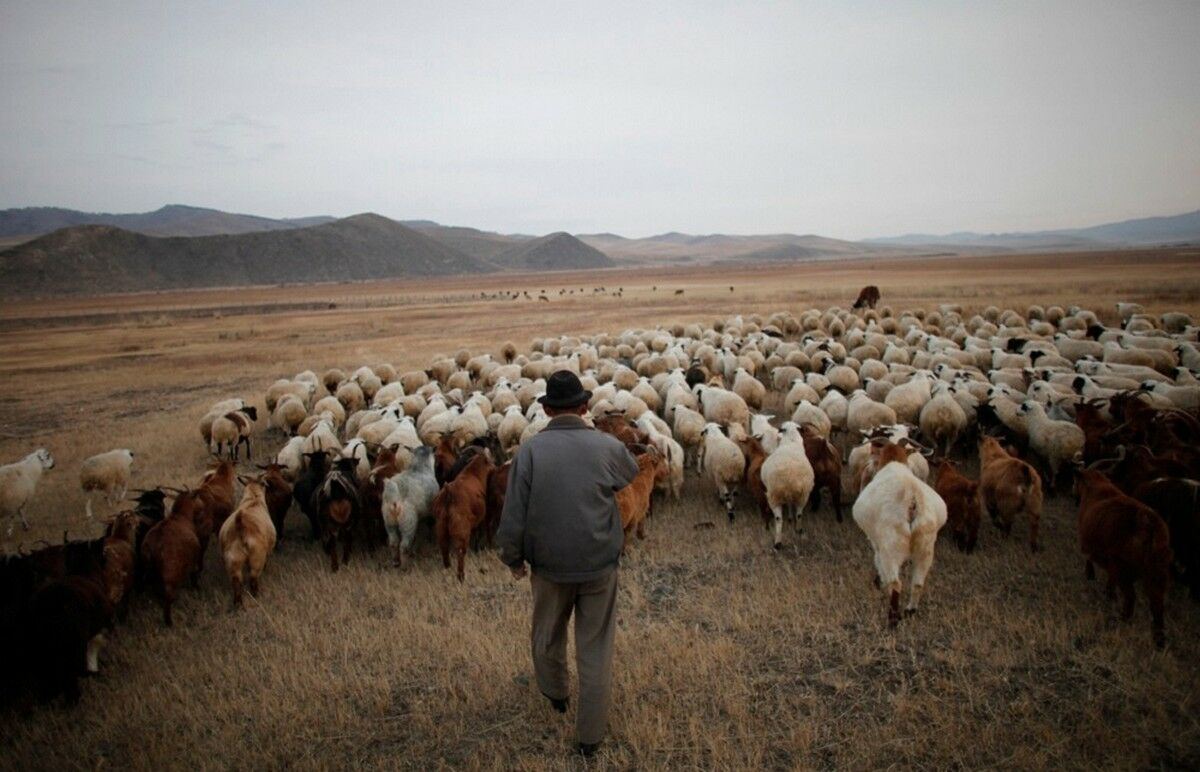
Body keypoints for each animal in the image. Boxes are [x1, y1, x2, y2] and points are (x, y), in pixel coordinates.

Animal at [142, 492, 204, 624]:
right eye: (197, 497)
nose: (203, 506)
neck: (181, 516)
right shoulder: (194, 560)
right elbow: (194, 575)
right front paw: (197, 589)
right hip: (170, 573)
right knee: (168, 596)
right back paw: (169, 622)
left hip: (149, 570)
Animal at [219, 477, 277, 609]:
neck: (253, 499)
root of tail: (241, 523)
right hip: (257, 557)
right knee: (253, 578)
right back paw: (256, 596)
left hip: (233, 560)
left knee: (236, 581)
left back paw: (238, 604)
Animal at [1075, 468, 1166, 648]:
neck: (1098, 485)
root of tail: (1148, 523)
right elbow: (1110, 579)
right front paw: (1109, 593)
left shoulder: (1089, 544)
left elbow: (1089, 559)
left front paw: (1091, 576)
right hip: (1157, 573)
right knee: (1157, 603)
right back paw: (1159, 640)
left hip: (1125, 570)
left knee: (1131, 597)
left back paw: (1123, 618)